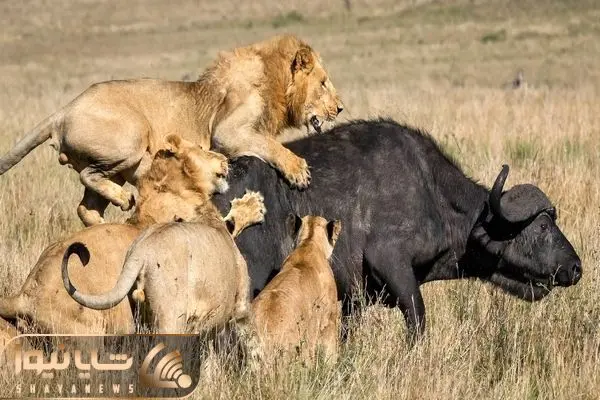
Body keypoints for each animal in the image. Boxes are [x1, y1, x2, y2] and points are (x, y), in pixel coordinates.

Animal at [0, 34, 343, 226]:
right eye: (324, 83)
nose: (340, 108)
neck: (276, 84)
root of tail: (62, 111)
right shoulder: (226, 132)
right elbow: (270, 144)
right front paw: (298, 171)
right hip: (133, 136)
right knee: (89, 175)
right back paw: (124, 201)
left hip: (114, 164)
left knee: (85, 207)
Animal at [0, 136, 265, 335]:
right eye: (201, 149)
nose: (225, 159)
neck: (171, 183)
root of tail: (24, 294)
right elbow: (230, 224)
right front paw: (253, 206)